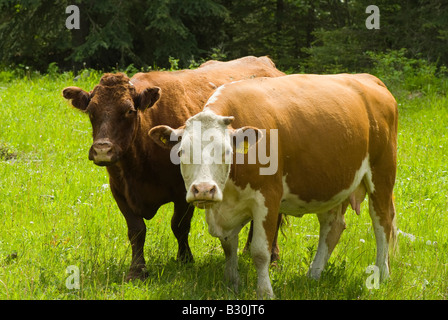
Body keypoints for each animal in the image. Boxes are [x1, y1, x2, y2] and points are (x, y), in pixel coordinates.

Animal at [62, 57, 284, 280]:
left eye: (129, 110)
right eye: (91, 112)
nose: (102, 150)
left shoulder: (184, 190)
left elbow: (179, 225)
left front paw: (185, 259)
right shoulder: (119, 191)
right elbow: (136, 230)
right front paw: (137, 269)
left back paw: (272, 256)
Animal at [150, 73, 400, 298]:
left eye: (227, 152)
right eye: (181, 152)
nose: (203, 189)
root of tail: (370, 79)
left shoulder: (267, 198)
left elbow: (260, 251)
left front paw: (265, 292)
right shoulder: (224, 208)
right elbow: (228, 247)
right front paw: (232, 283)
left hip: (382, 175)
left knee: (382, 222)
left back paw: (382, 275)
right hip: (331, 185)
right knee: (333, 227)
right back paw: (313, 275)